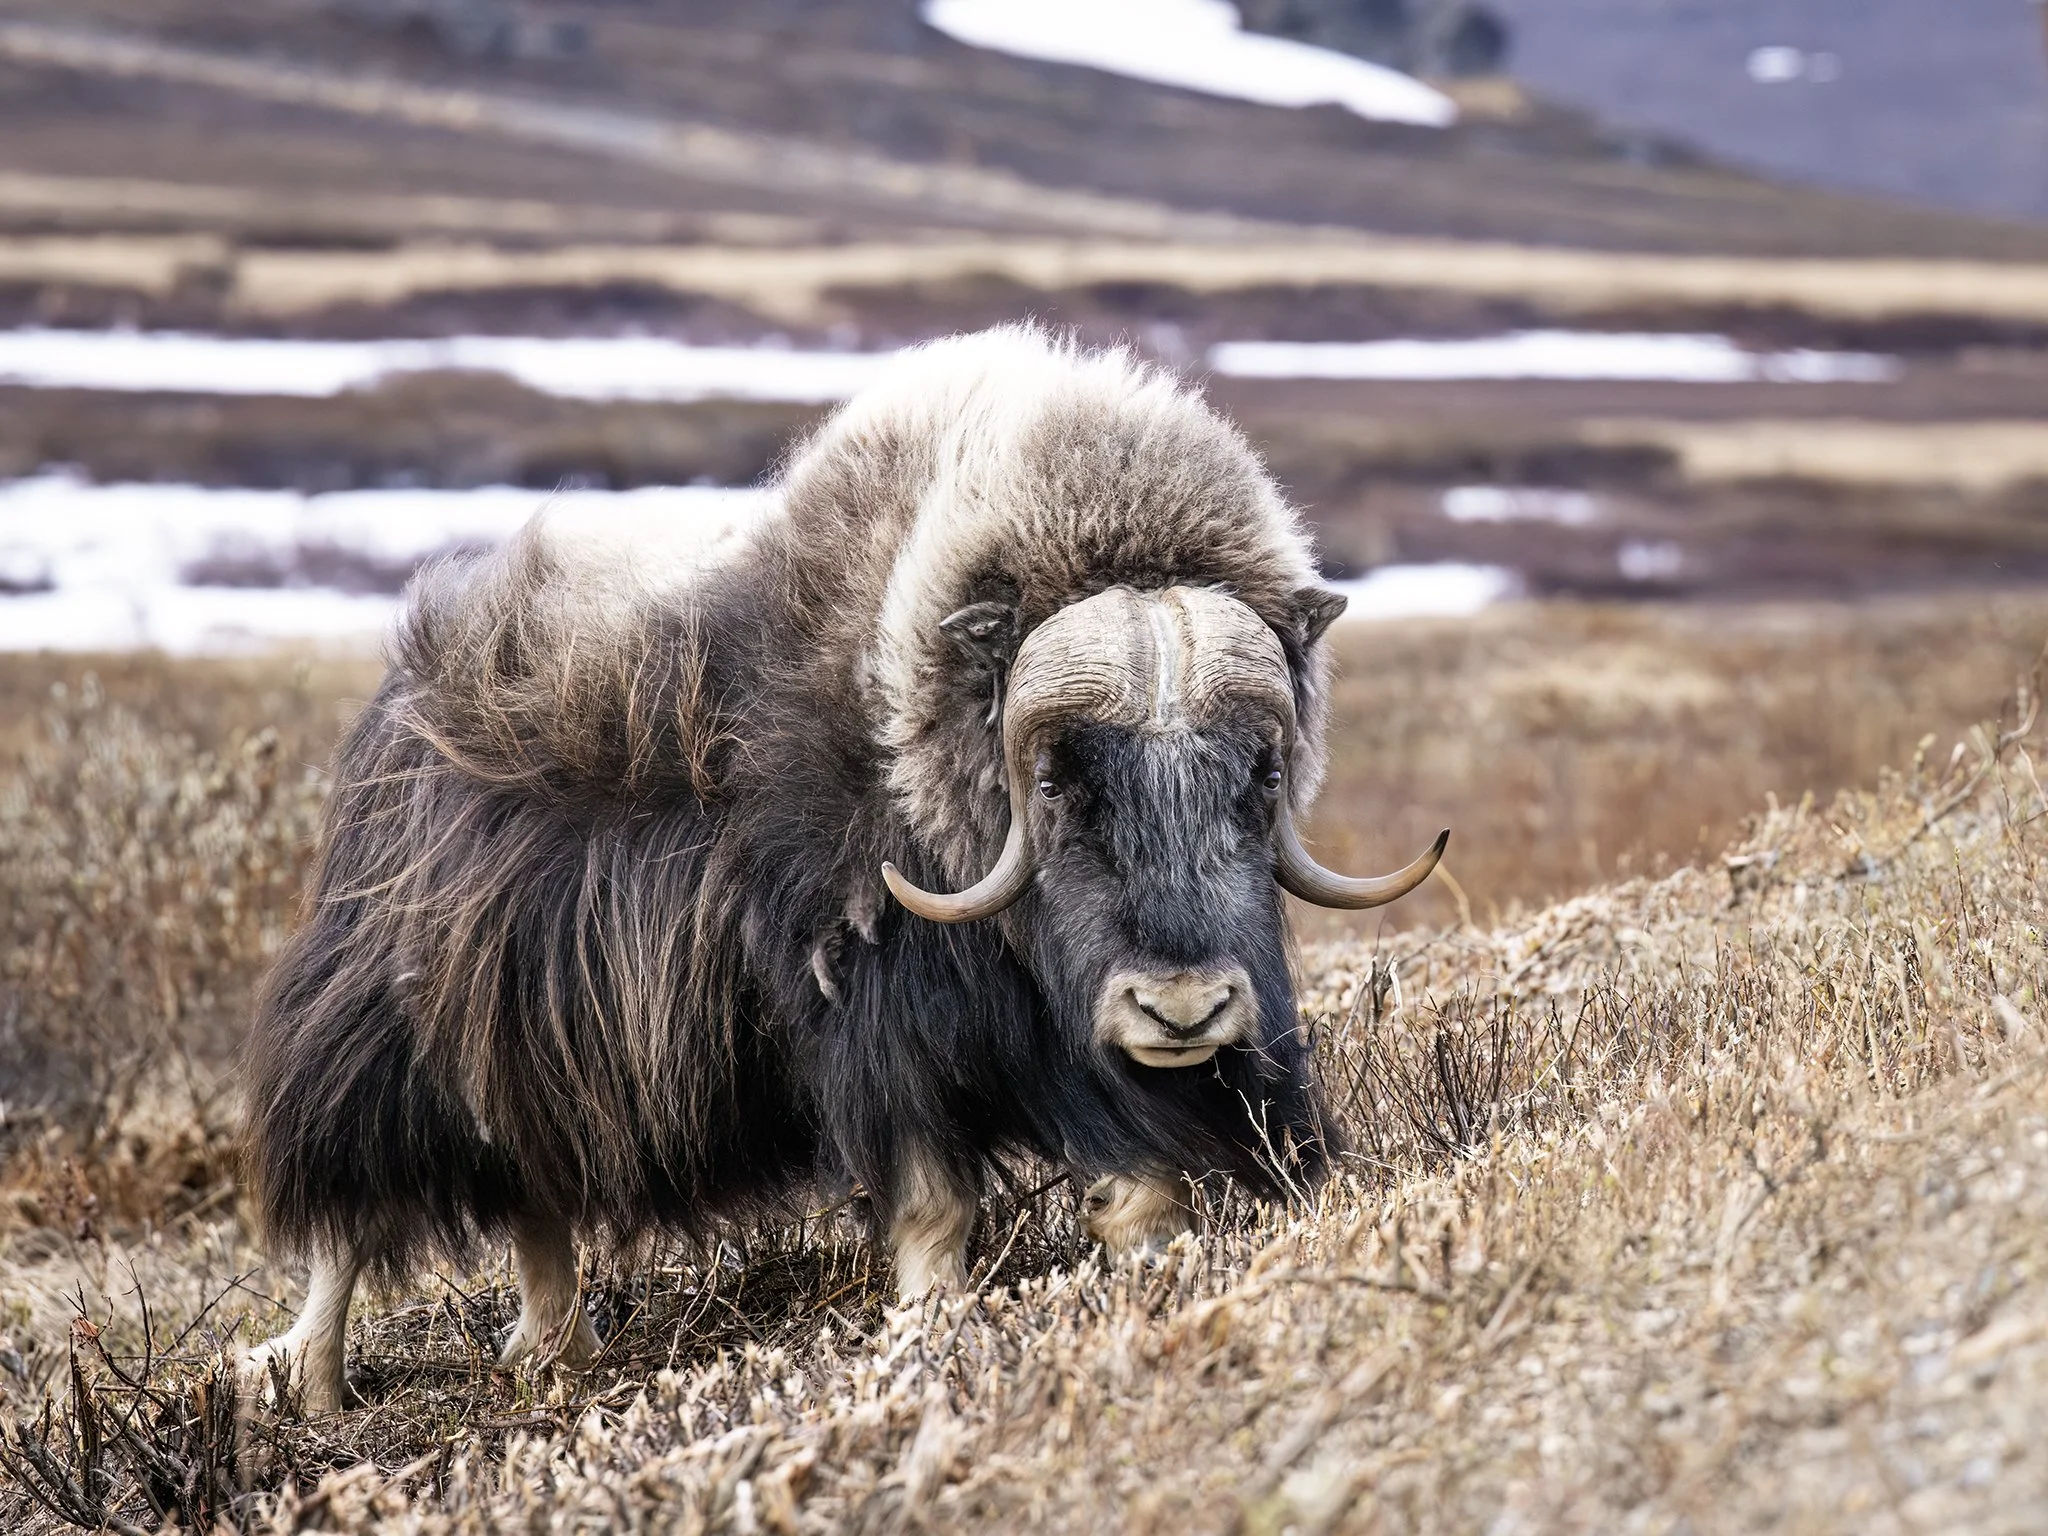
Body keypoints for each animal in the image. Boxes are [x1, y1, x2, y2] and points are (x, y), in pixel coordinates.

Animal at [240, 327, 1446, 1411]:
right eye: (1055, 780)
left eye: (1260, 770)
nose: (1184, 1010)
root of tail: (402, 694)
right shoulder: (874, 1020)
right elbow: (932, 1203)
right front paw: (927, 1329)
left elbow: (1142, 1199)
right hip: (396, 1035)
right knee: (353, 1209)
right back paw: (309, 1387)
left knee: (535, 1196)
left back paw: (558, 1357)